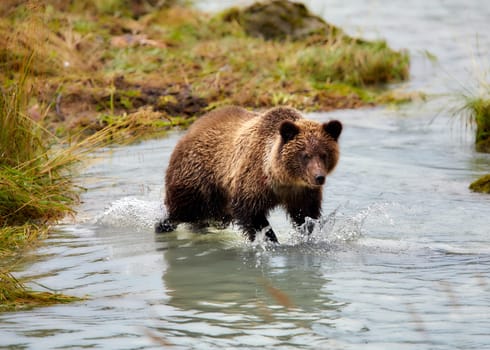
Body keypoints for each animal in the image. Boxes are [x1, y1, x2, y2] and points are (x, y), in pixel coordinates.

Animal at [157, 106, 340, 243]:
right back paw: (163, 225)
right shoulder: (253, 180)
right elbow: (251, 213)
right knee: (181, 210)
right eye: (305, 155)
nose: (319, 177)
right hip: (198, 179)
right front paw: (269, 240)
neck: (283, 178)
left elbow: (306, 215)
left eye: (324, 154)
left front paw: (308, 234)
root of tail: (190, 130)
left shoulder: (302, 192)